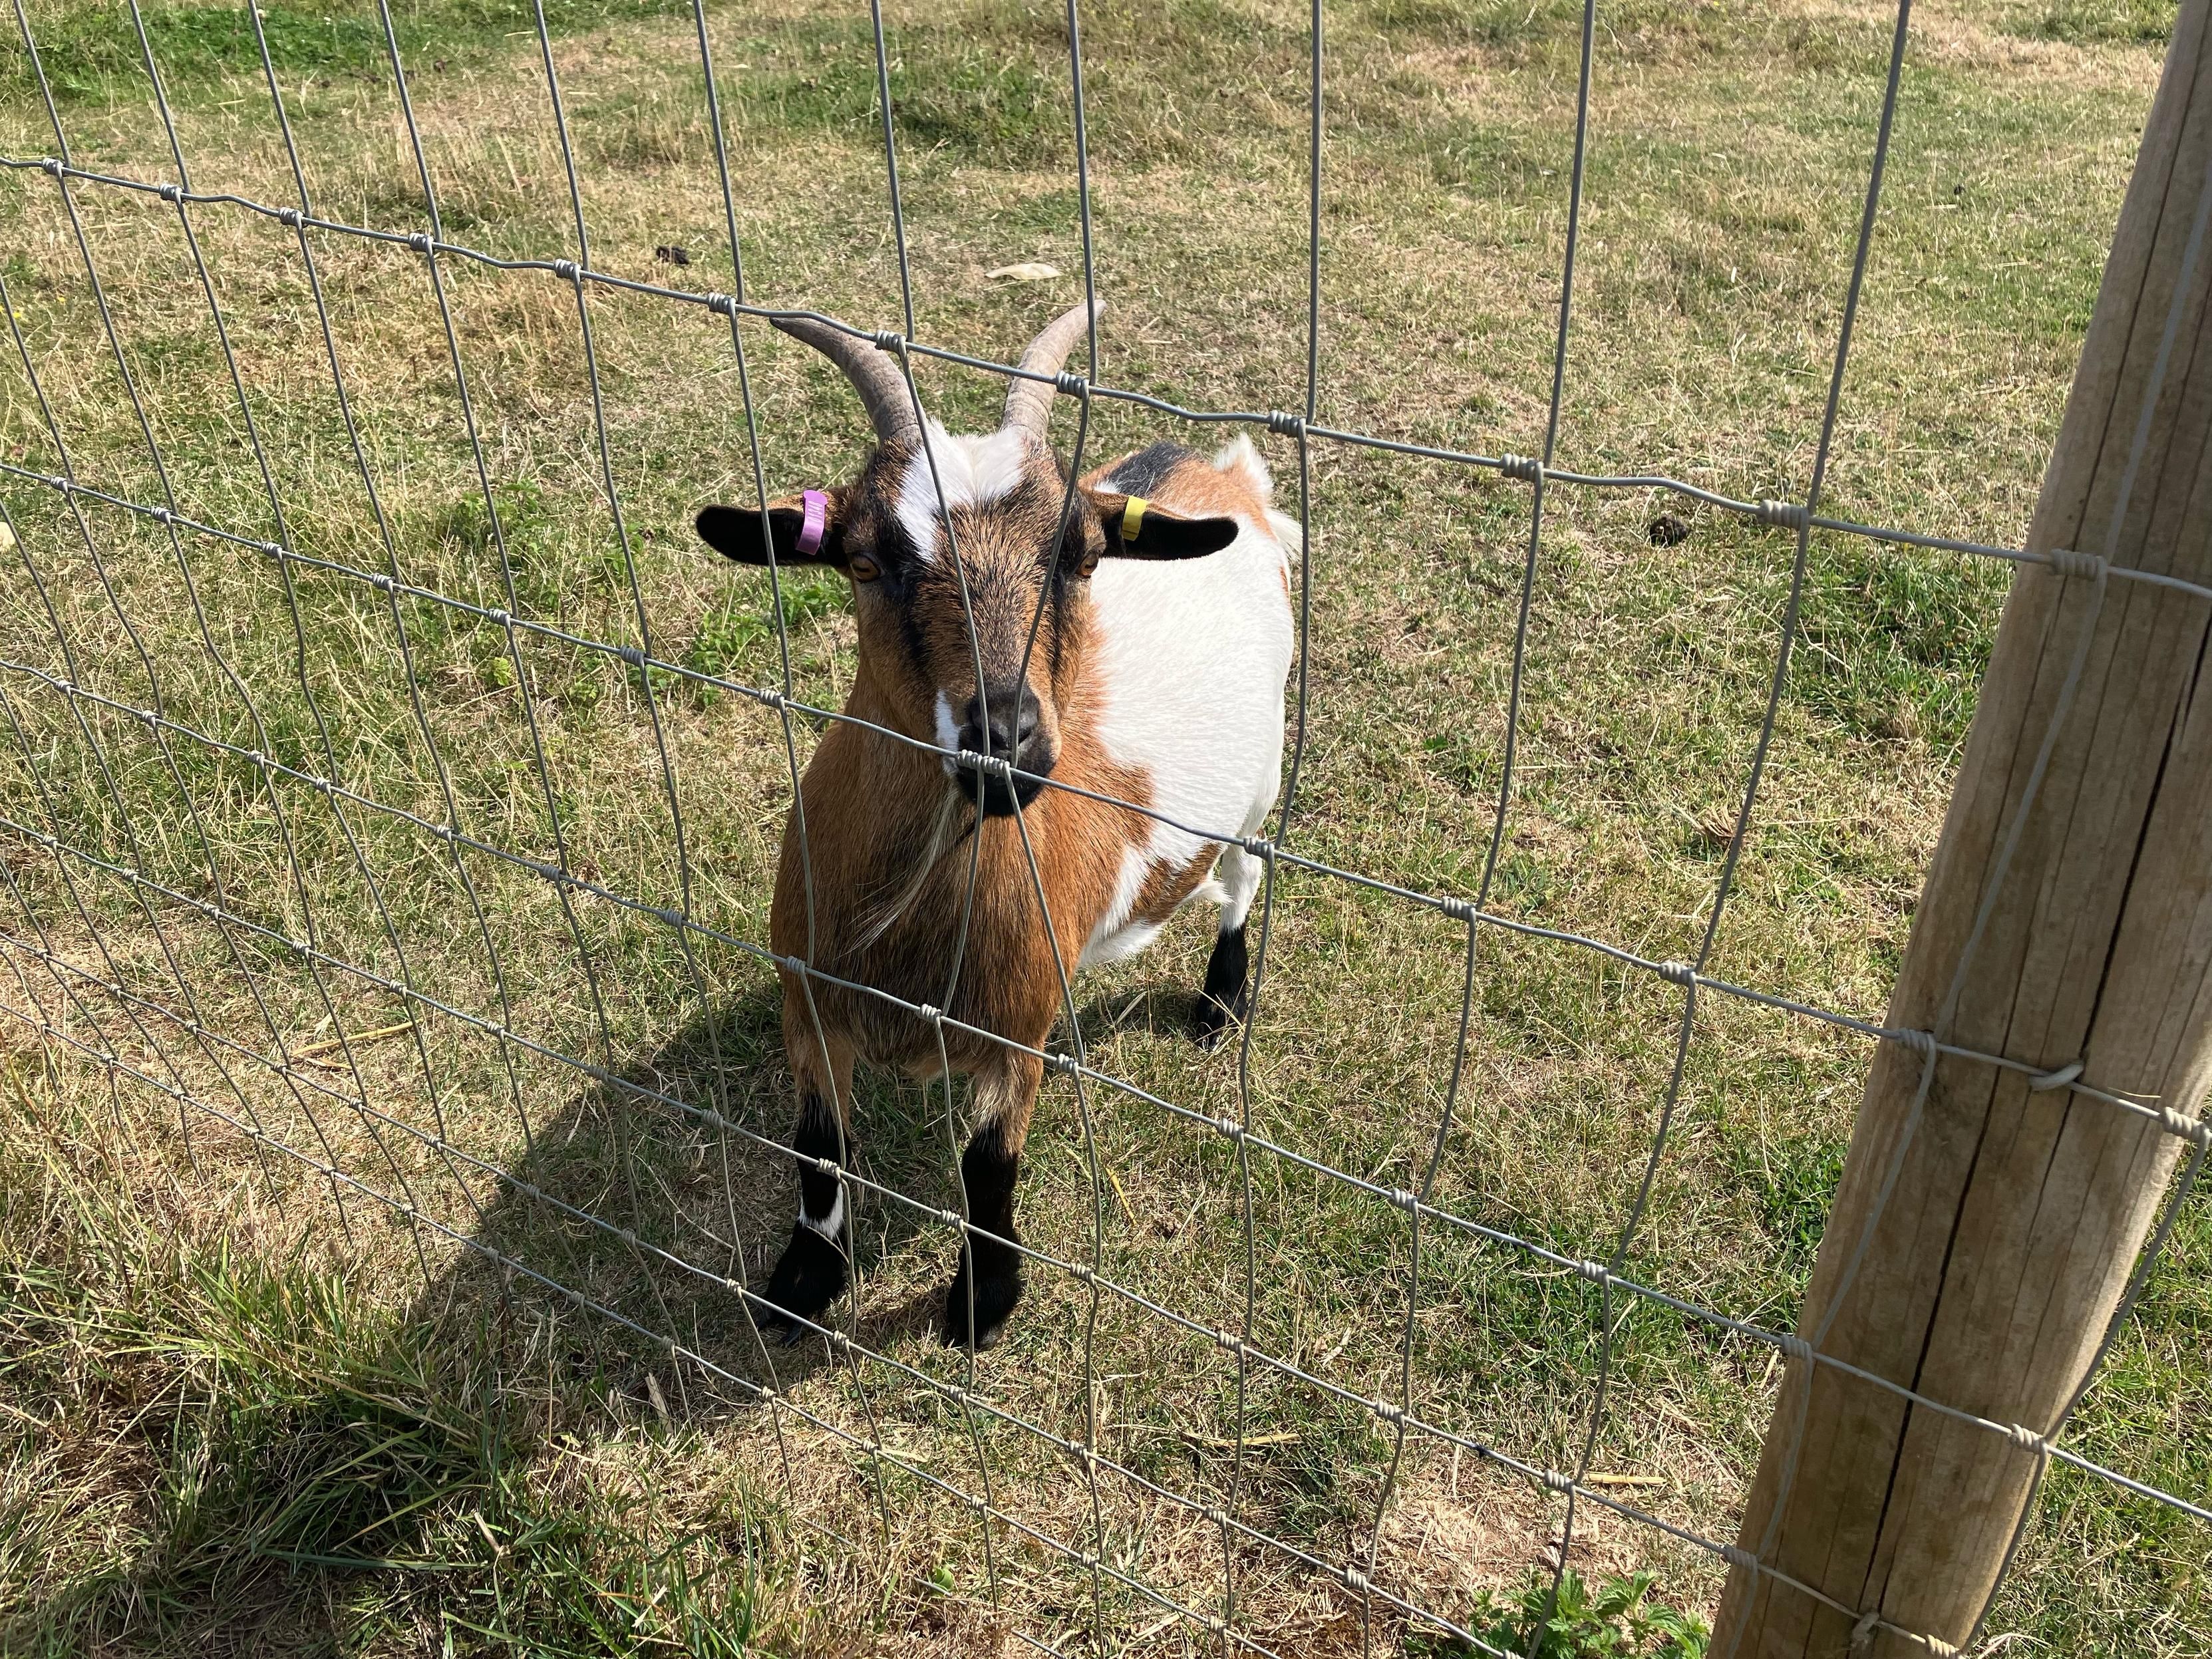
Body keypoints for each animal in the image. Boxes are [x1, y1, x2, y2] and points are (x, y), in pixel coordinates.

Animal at [694, 302, 1296, 1349]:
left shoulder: (1019, 1027)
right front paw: (803, 1281)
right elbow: (818, 1146)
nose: (1004, 739)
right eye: (865, 558)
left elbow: (987, 1167)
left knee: (1244, 876)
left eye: (1081, 556)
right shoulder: (807, 999)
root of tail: (1228, 479)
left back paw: (1221, 1005)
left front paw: (981, 1301)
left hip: (1261, 779)